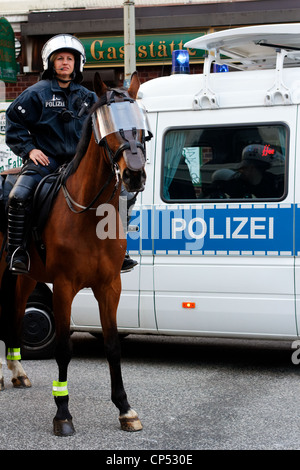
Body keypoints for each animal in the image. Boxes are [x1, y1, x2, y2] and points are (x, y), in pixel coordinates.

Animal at [0, 73, 149, 436]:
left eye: (139, 126)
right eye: (107, 126)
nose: (134, 174)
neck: (89, 213)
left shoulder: (109, 286)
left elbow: (112, 345)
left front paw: (125, 409)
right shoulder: (64, 287)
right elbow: (64, 348)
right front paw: (63, 413)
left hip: (26, 276)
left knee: (15, 310)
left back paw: (17, 370)